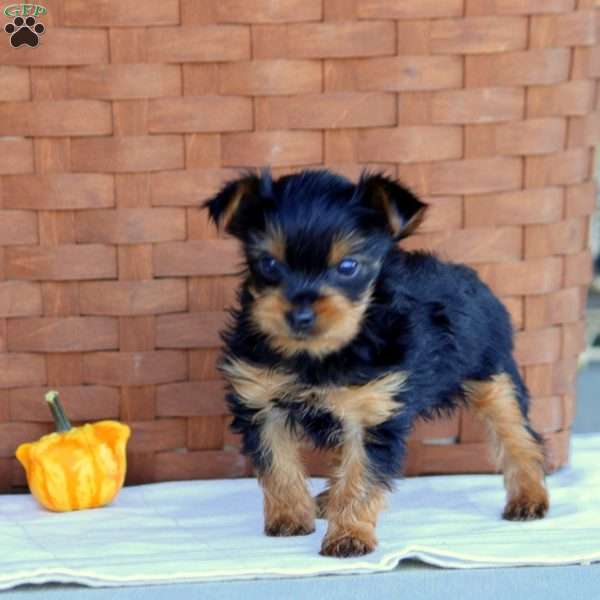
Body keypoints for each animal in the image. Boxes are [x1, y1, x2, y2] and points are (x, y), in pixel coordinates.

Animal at [205, 169, 548, 556]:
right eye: (269, 264)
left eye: (347, 267)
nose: (300, 314)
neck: (319, 354)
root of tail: (469, 276)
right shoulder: (262, 403)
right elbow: (278, 464)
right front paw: (291, 517)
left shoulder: (371, 412)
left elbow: (361, 477)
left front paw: (349, 535)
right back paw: (326, 500)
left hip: (493, 375)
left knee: (518, 435)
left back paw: (529, 497)